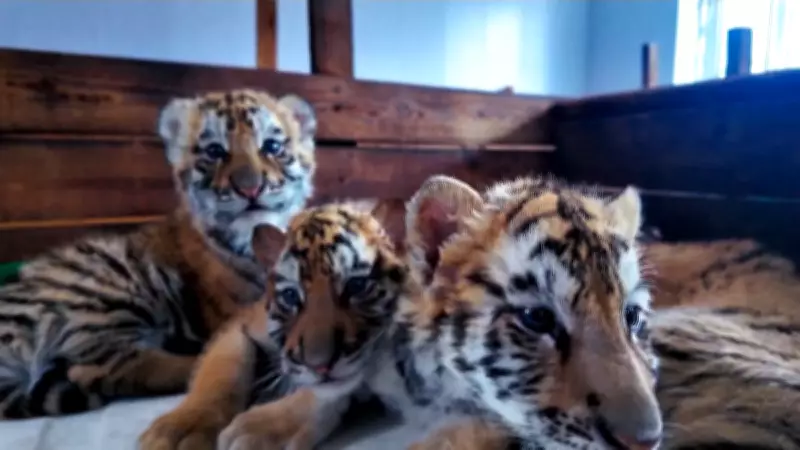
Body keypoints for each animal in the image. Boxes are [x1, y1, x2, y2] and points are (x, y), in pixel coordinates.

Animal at [139, 200, 408, 450]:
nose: (320, 365)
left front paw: (258, 429)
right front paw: (182, 428)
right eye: (290, 295)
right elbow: (221, 372)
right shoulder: (242, 324)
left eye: (357, 286)